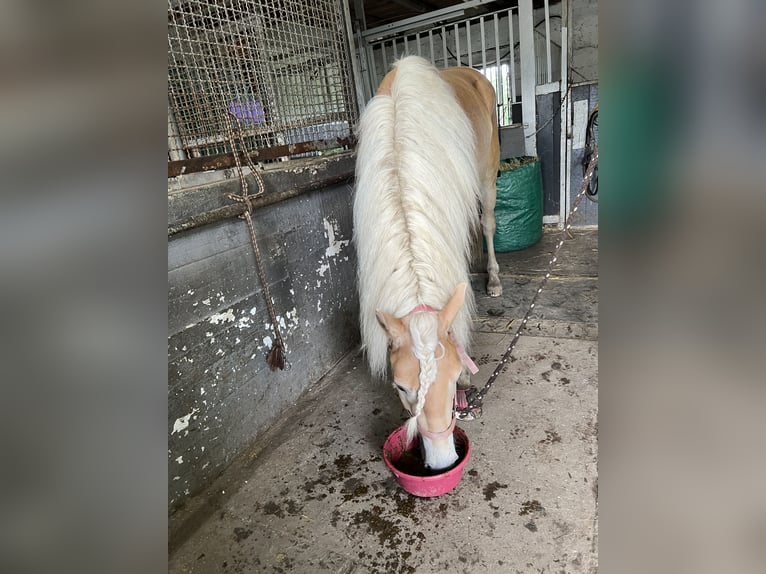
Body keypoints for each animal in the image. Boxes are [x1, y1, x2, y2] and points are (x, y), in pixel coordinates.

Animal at [354, 56, 504, 472]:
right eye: (401, 387)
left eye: (454, 377)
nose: (441, 461)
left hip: (487, 174)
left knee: (487, 223)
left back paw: (493, 279)